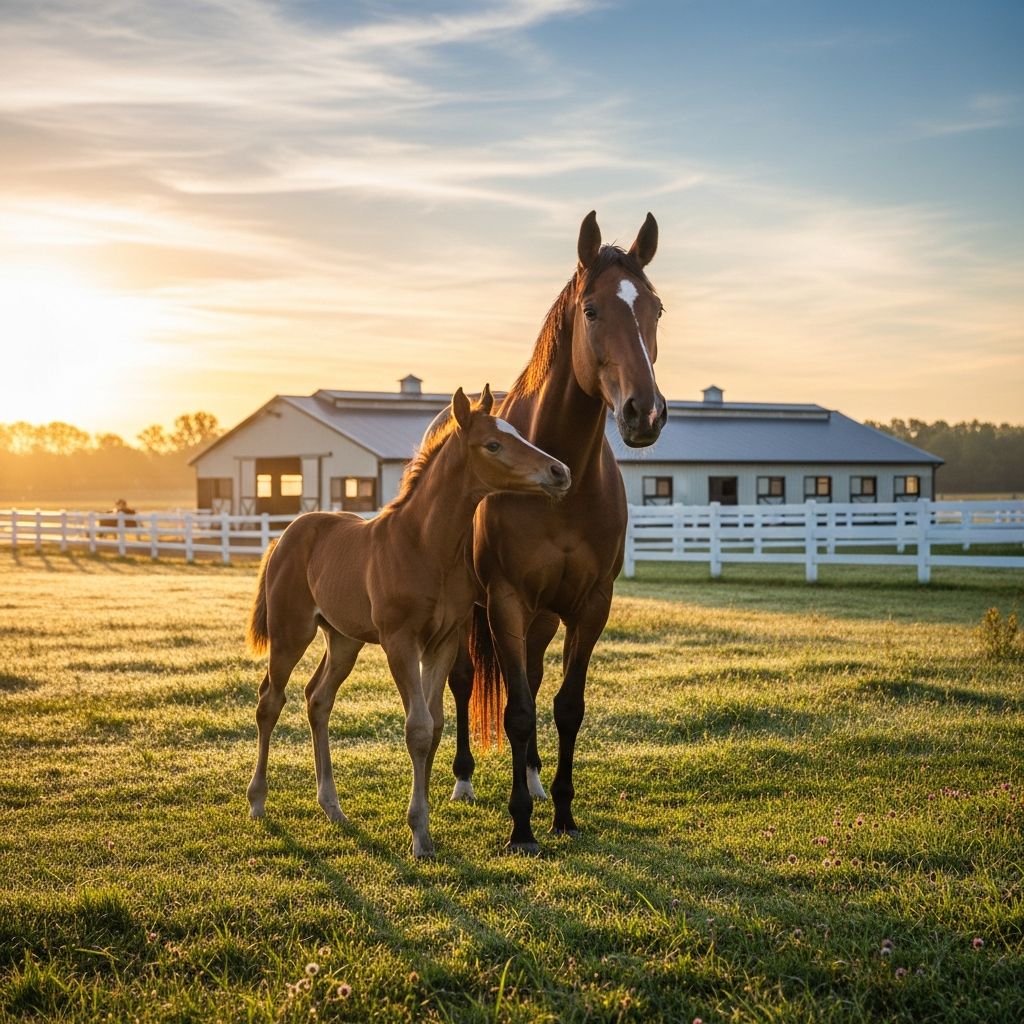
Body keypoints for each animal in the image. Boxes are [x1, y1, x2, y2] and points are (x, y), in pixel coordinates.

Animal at [244, 387, 570, 858]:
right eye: (493, 444)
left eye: (517, 433)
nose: (559, 471)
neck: (424, 545)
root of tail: (286, 534)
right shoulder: (400, 642)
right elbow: (416, 728)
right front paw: (419, 836)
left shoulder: (443, 641)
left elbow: (433, 726)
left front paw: (425, 828)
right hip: (292, 633)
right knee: (270, 701)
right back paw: (257, 801)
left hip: (343, 640)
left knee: (317, 699)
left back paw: (332, 806)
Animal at [448, 211, 666, 852]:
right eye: (591, 310)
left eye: (656, 309)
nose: (645, 413)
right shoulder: (506, 601)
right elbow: (517, 711)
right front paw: (521, 828)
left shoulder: (591, 603)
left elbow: (566, 705)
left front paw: (562, 812)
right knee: (464, 681)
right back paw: (465, 781)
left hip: (543, 617)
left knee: (535, 676)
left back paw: (536, 779)